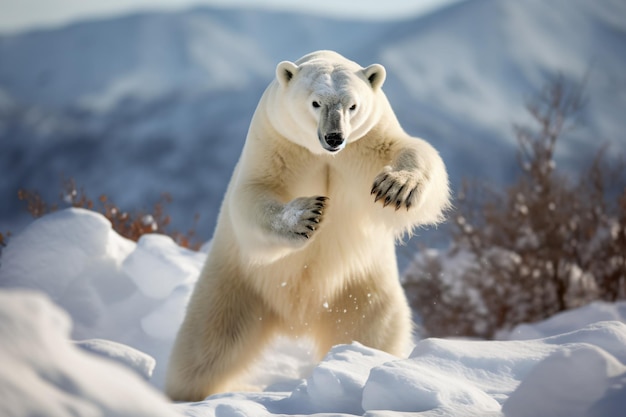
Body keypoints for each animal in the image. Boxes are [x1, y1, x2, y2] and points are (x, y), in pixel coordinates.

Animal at [166, 50, 448, 402]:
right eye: (316, 103)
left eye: (352, 105)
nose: (334, 137)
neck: (320, 152)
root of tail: (296, 320)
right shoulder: (276, 144)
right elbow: (250, 197)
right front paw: (307, 215)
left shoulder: (367, 142)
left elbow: (415, 150)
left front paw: (397, 187)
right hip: (235, 285)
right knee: (205, 345)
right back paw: (184, 394)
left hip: (360, 293)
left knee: (374, 333)